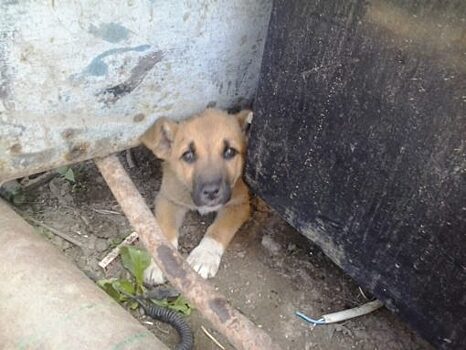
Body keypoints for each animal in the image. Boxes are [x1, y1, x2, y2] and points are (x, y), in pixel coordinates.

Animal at [140, 107, 251, 284]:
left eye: (229, 152)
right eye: (188, 155)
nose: (211, 191)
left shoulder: (239, 204)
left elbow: (218, 229)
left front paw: (204, 256)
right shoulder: (168, 198)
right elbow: (164, 232)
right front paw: (159, 264)